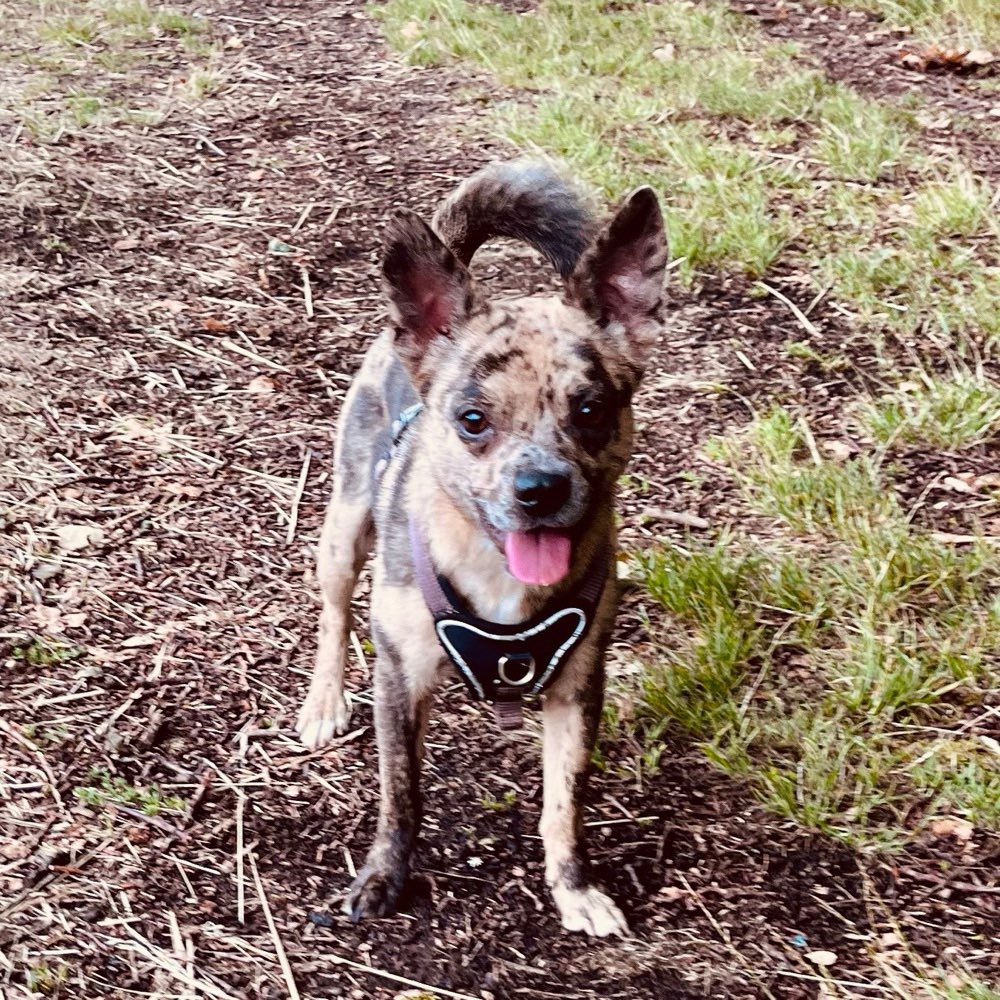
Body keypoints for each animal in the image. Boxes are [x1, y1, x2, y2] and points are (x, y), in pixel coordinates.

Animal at [300, 162, 668, 936]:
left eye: (591, 410)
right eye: (472, 420)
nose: (540, 485)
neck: (500, 576)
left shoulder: (575, 690)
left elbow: (564, 804)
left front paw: (572, 888)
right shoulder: (400, 678)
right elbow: (401, 797)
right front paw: (383, 879)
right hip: (345, 528)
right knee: (333, 612)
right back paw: (322, 701)